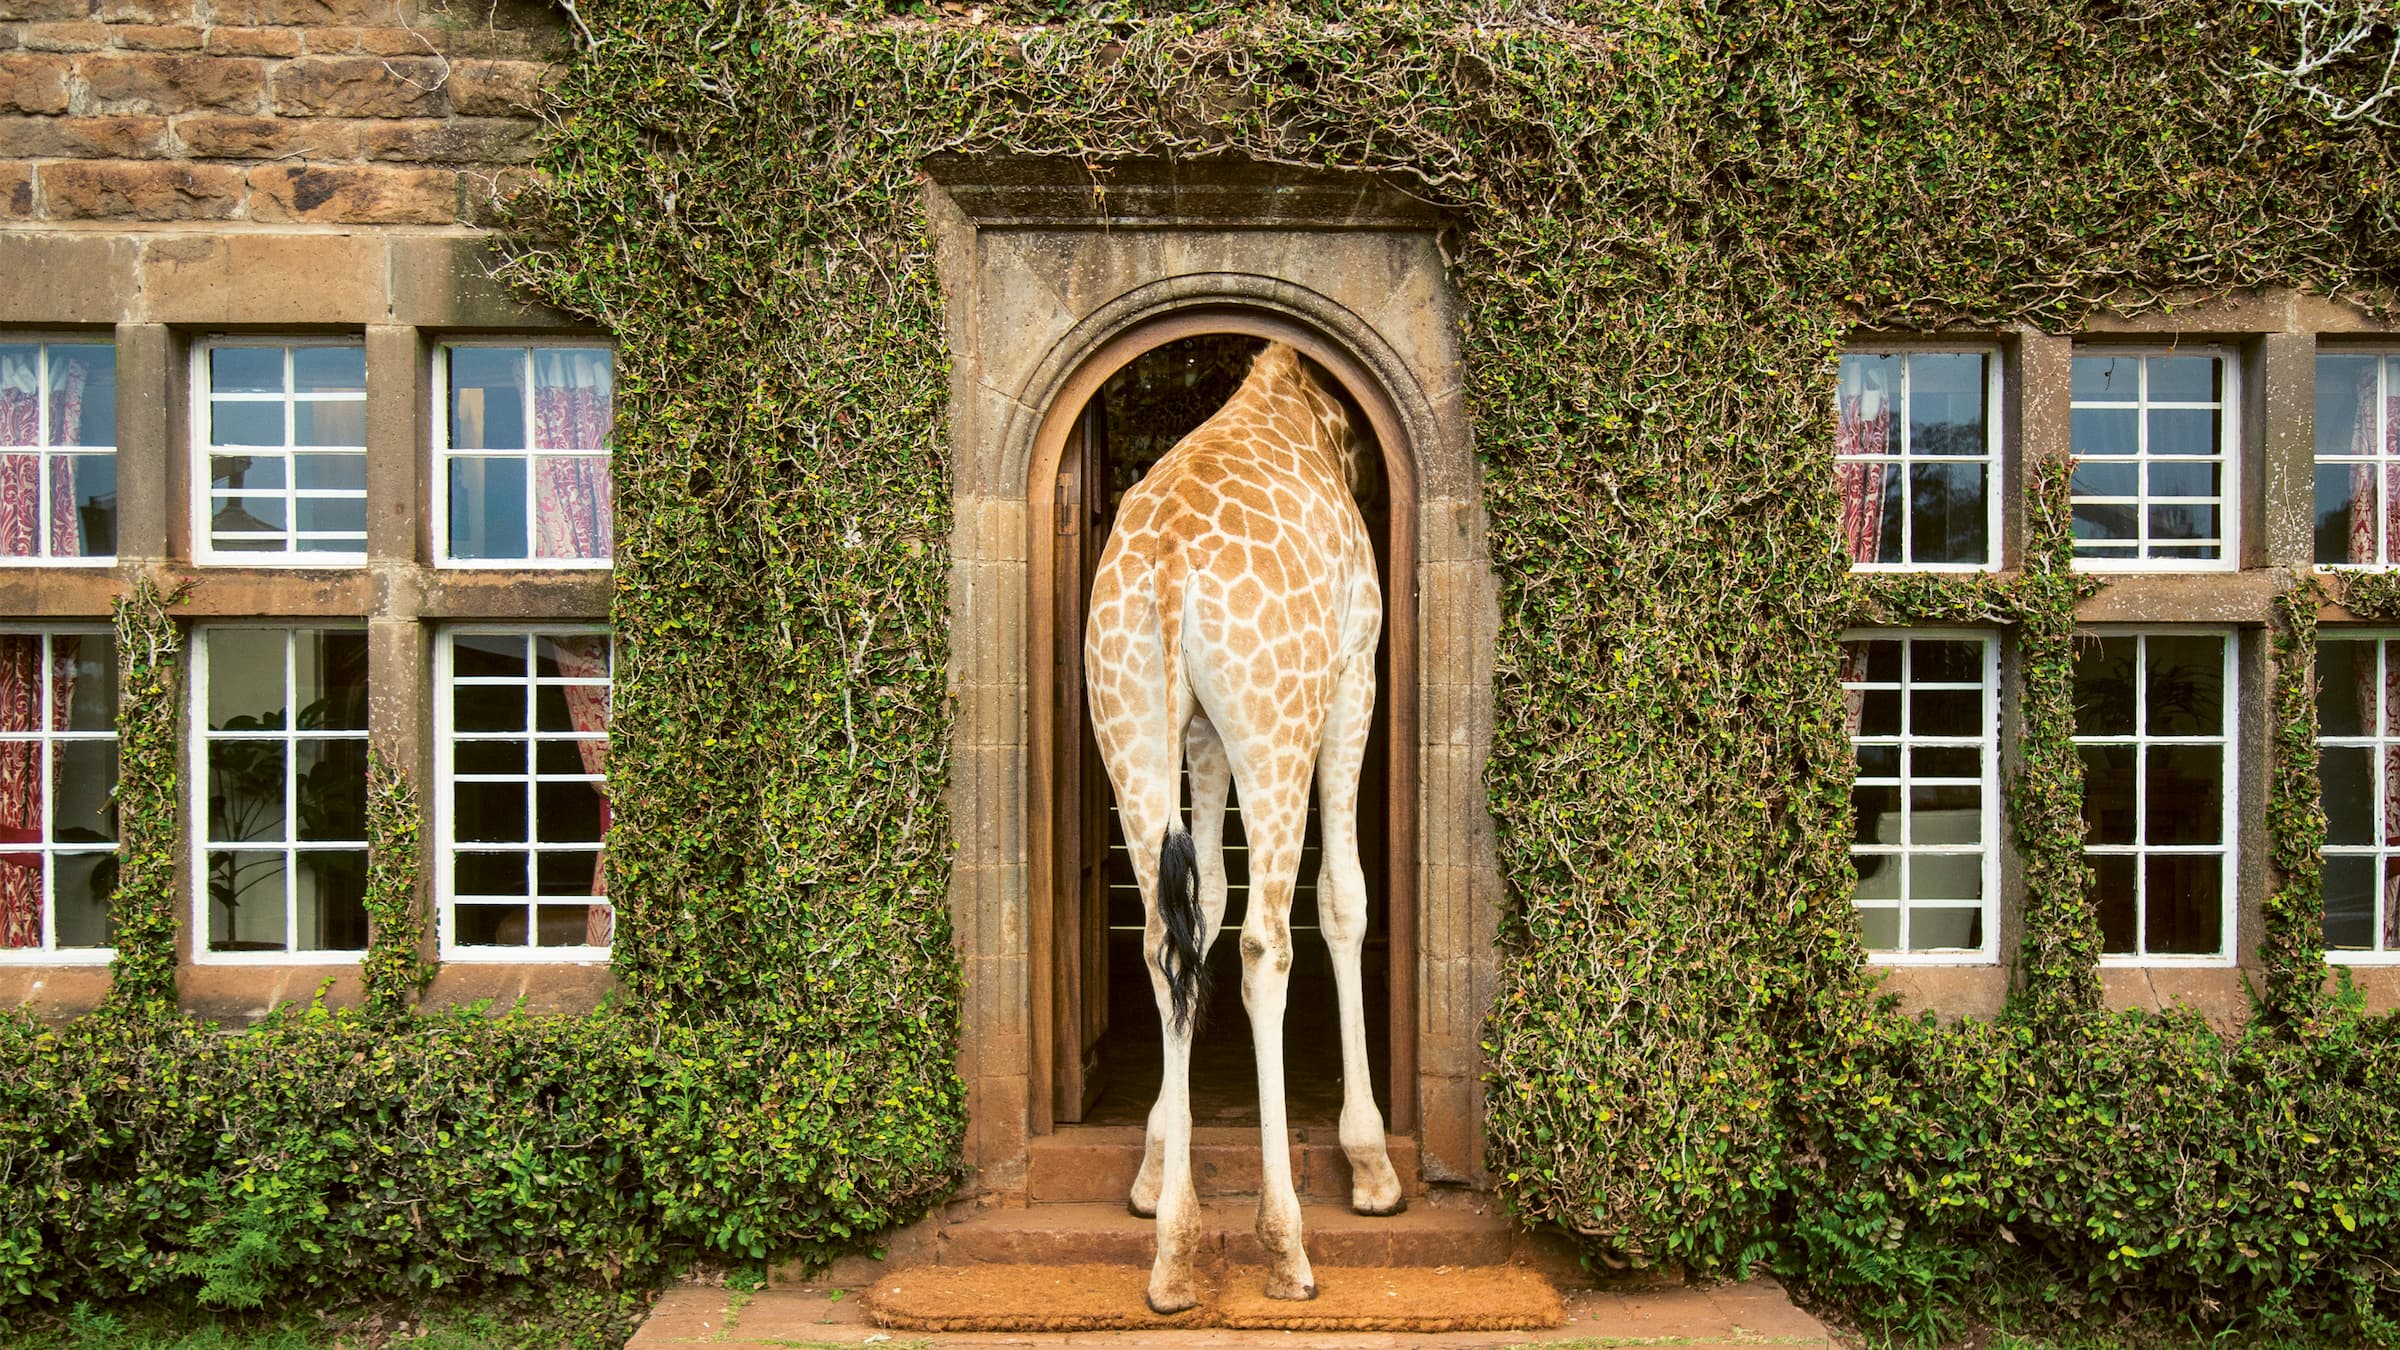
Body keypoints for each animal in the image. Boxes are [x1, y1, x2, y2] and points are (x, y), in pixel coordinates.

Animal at [1075, 338, 1401, 1316]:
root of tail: (1171, 561)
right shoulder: (1356, 674)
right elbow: (1342, 901)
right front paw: (1372, 1164)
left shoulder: (1201, 732)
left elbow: (1206, 901)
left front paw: (1153, 1163)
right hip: (1279, 721)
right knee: (1267, 941)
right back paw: (1286, 1243)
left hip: (1127, 717)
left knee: (1162, 937)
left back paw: (1174, 1253)